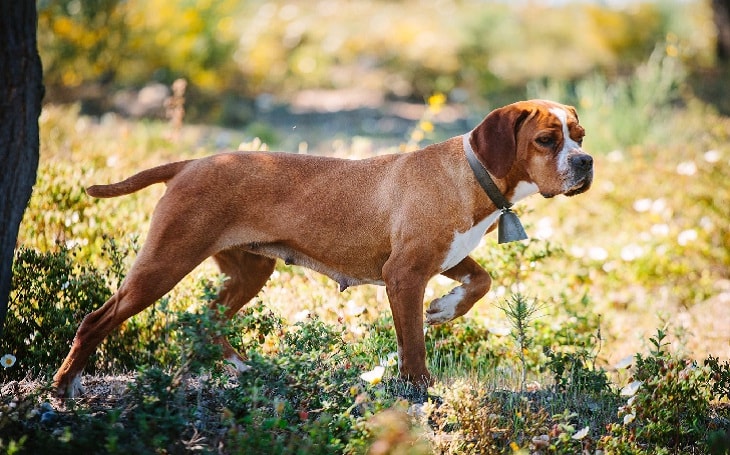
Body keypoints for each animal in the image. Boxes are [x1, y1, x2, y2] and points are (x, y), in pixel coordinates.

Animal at [52, 100, 592, 400]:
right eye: (547, 140)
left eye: (580, 136)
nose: (586, 162)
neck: (473, 174)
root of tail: (189, 164)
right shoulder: (404, 274)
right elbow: (414, 345)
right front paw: (419, 389)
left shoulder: (446, 259)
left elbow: (481, 281)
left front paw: (444, 309)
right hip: (163, 264)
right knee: (96, 320)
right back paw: (64, 386)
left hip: (250, 272)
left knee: (206, 318)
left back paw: (242, 368)